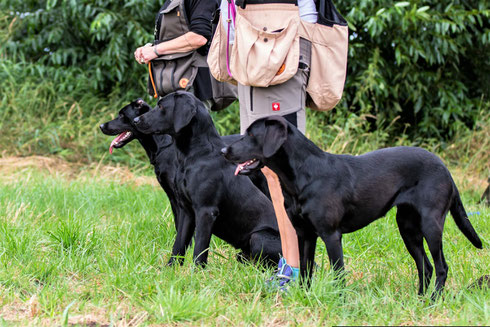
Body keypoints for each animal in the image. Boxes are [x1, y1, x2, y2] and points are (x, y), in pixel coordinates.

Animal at [133, 91, 284, 266]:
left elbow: (199, 249)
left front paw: (197, 271)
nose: (135, 120)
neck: (197, 154)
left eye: (161, 106)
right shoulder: (186, 211)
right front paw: (170, 268)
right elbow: (178, 244)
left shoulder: (206, 211)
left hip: (258, 237)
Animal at [222, 116, 482, 300]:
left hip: (431, 224)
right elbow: (306, 270)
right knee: (425, 266)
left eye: (251, 135)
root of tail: (445, 169)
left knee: (441, 266)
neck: (303, 175)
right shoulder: (305, 234)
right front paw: (304, 297)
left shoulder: (331, 235)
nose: (224, 151)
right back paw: (418, 300)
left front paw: (339, 302)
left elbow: (338, 272)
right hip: (407, 228)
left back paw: (433, 301)